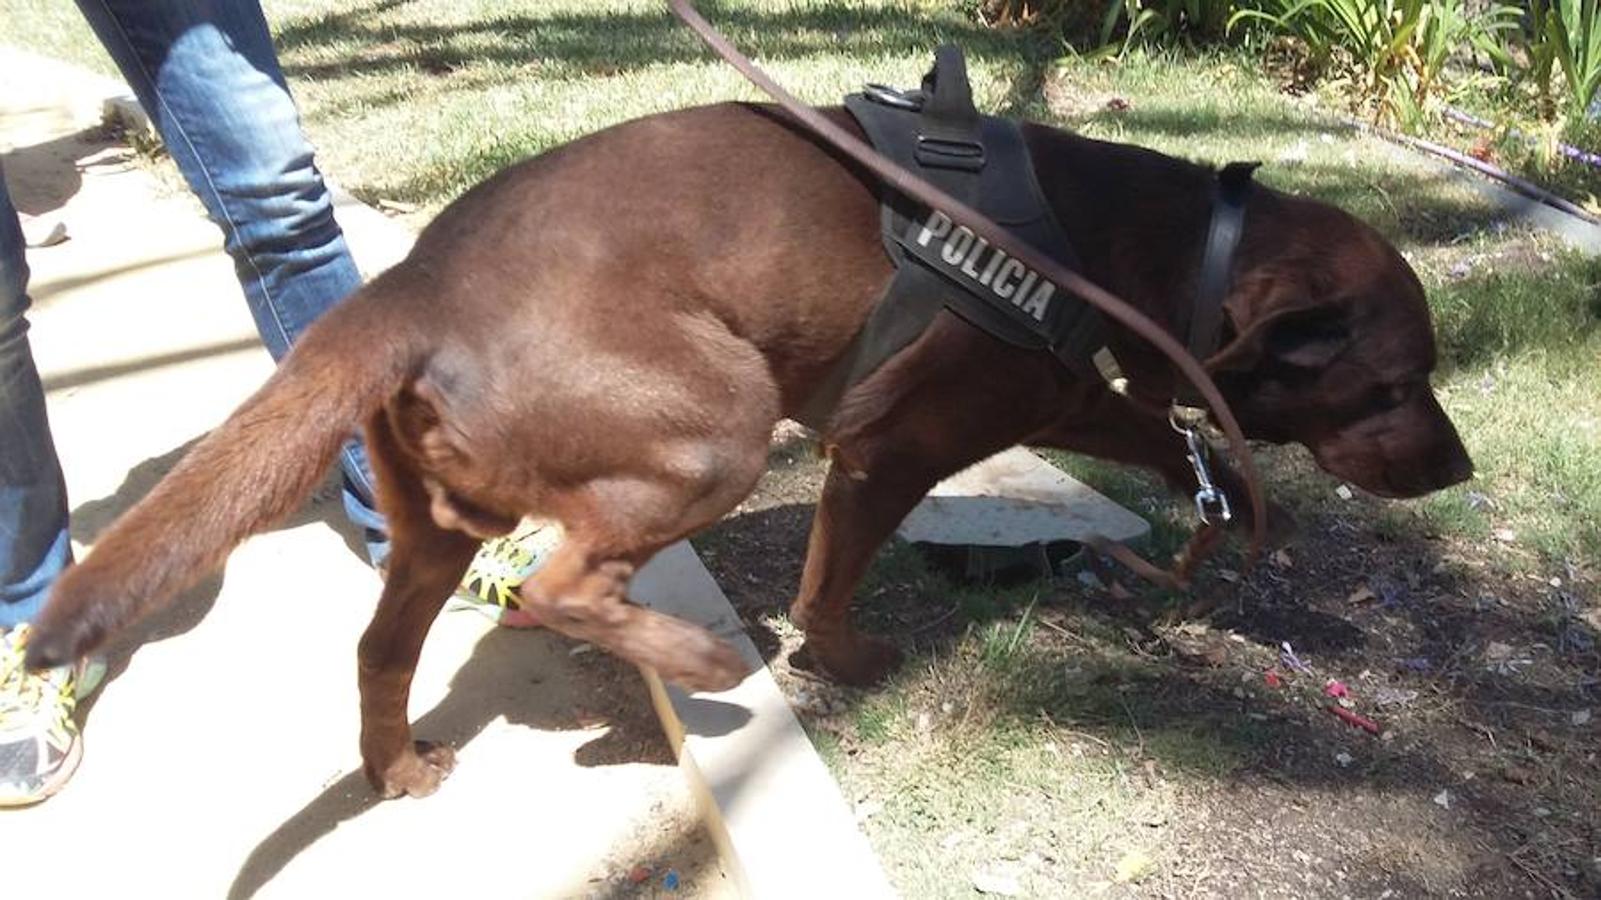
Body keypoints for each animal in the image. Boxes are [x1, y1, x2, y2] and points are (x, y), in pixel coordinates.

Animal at [28, 101, 1472, 794]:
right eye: (1402, 379)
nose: (1458, 470)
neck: (1146, 244)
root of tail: (410, 288)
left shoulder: (1055, 392)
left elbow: (1149, 427)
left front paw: (1224, 500)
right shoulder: (891, 446)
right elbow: (833, 581)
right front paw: (842, 660)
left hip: (437, 528)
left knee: (387, 647)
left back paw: (395, 768)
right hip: (718, 426)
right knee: (563, 588)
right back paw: (702, 662)